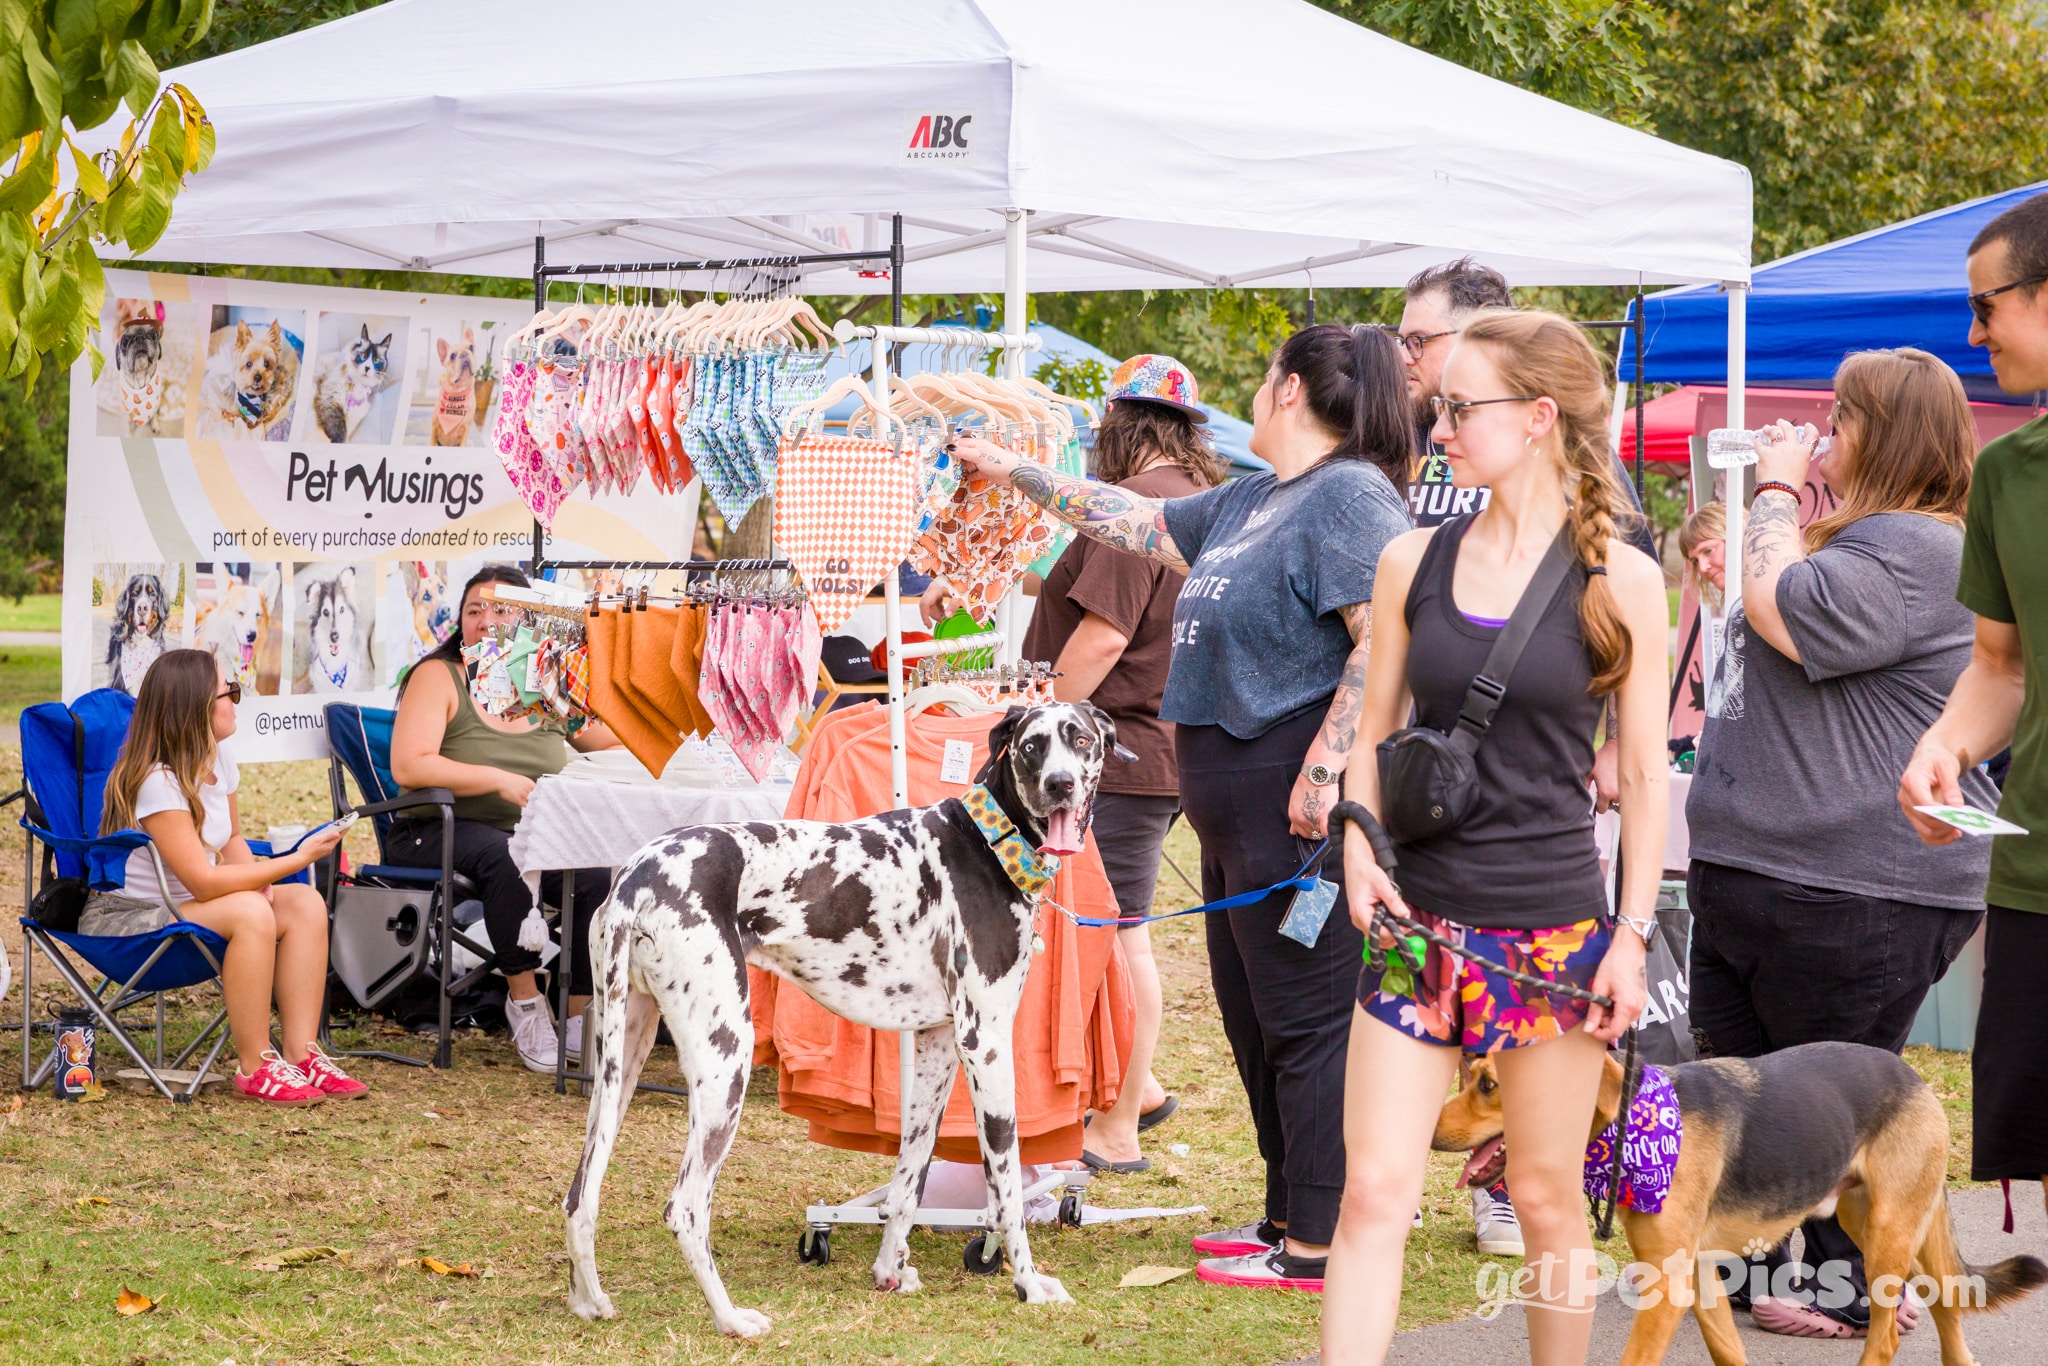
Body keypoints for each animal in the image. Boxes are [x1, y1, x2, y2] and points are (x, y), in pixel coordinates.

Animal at [112, 299, 167, 434]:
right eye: (124, 342)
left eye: (153, 335)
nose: (139, 337)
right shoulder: (126, 421)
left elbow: (154, 415)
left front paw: (155, 424)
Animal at [564, 702, 1133, 1337]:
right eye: (1032, 746)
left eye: (1079, 739)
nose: (1059, 785)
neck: (990, 842)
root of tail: (635, 879)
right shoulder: (984, 1043)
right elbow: (1004, 1185)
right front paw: (1027, 1283)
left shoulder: (938, 1045)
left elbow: (909, 1176)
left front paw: (890, 1271)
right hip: (726, 1060)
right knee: (685, 1207)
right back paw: (730, 1318)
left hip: (620, 1061)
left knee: (581, 1194)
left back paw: (589, 1301)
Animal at [1434, 1042, 2047, 1364]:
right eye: (1475, 1076)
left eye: (1489, 1085)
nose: (1428, 1133)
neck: (1629, 1133)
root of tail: (1915, 1077)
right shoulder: (1700, 1276)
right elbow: (1729, 1350)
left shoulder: (1667, 1287)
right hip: (1886, 1228)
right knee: (1949, 1306)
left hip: (1887, 1239)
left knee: (1888, 1335)